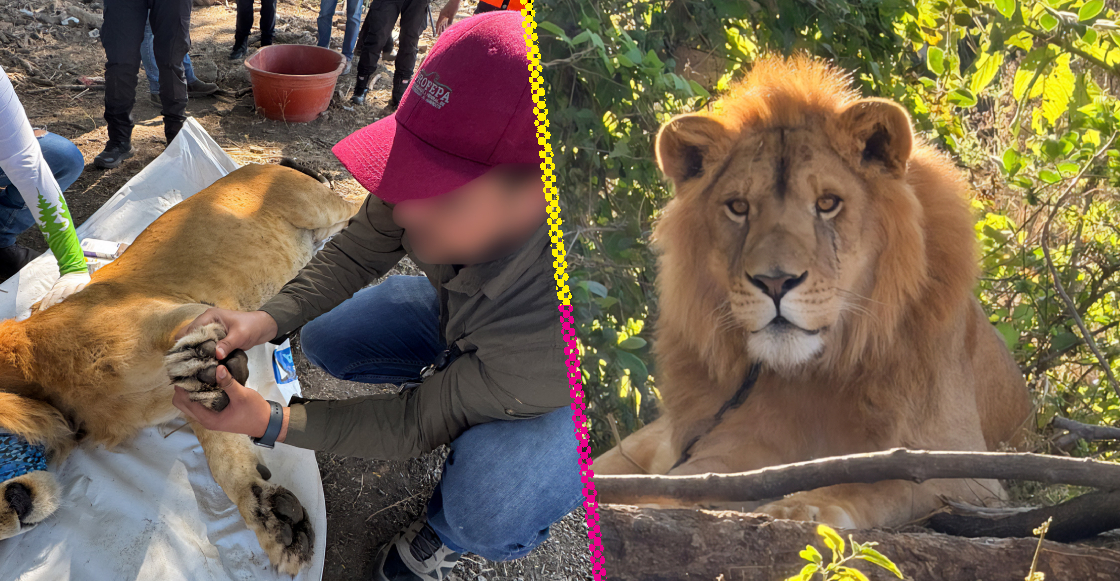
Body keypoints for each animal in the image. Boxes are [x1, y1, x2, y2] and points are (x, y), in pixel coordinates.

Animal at [0, 160, 359, 573]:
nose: (16, 512)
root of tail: (265, 163)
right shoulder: (191, 407)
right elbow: (226, 458)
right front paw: (271, 517)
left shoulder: (182, 310)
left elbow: (187, 335)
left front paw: (197, 359)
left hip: (318, 208)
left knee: (363, 207)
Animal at [593, 56, 1032, 530]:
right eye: (739, 207)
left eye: (827, 203)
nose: (775, 283)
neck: (813, 374)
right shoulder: (733, 445)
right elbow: (684, 482)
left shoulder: (969, 472)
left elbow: (883, 481)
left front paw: (799, 505)